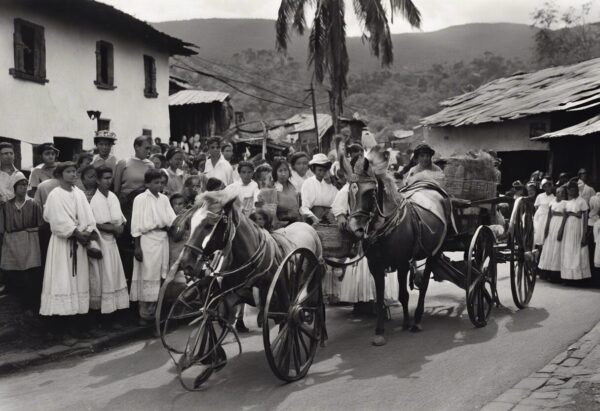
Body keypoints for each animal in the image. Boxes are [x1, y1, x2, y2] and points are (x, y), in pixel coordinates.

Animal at [342, 148, 450, 348]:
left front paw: (407, 322)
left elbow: (403, 294)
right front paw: (379, 331)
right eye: (349, 193)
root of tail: (428, 186)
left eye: (370, 192)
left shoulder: (402, 263)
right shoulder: (375, 266)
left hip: (434, 252)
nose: (355, 229)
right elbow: (380, 298)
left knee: (424, 284)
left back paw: (417, 320)